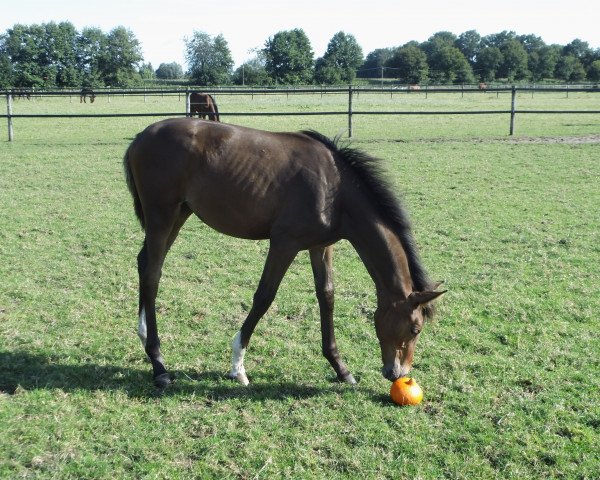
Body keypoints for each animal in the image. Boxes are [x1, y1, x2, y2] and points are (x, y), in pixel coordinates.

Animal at [124, 120, 446, 390]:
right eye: (415, 329)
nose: (398, 374)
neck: (334, 188)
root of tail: (141, 137)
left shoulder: (320, 246)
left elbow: (327, 296)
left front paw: (340, 368)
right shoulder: (283, 244)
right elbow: (264, 296)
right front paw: (237, 366)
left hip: (179, 214)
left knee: (145, 263)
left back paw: (144, 336)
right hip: (162, 215)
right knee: (153, 273)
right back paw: (158, 364)